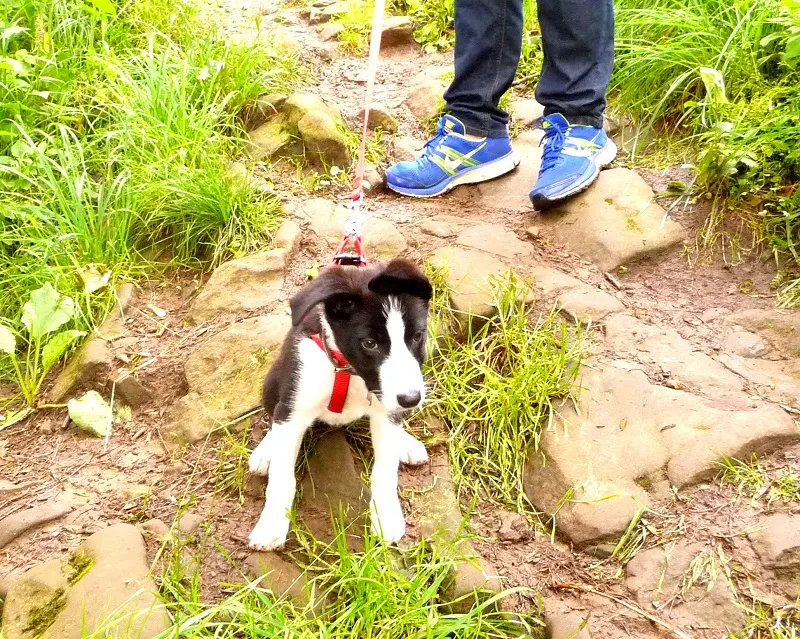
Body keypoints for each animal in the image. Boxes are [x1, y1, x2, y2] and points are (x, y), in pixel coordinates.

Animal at [248, 256, 432, 552]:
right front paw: (272, 525)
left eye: (417, 336)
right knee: (273, 417)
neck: (345, 370)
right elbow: (282, 475)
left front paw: (386, 516)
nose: (411, 399)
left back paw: (406, 443)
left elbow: (385, 470)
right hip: (273, 380)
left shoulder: (385, 409)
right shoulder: (294, 409)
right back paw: (266, 451)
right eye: (369, 343)